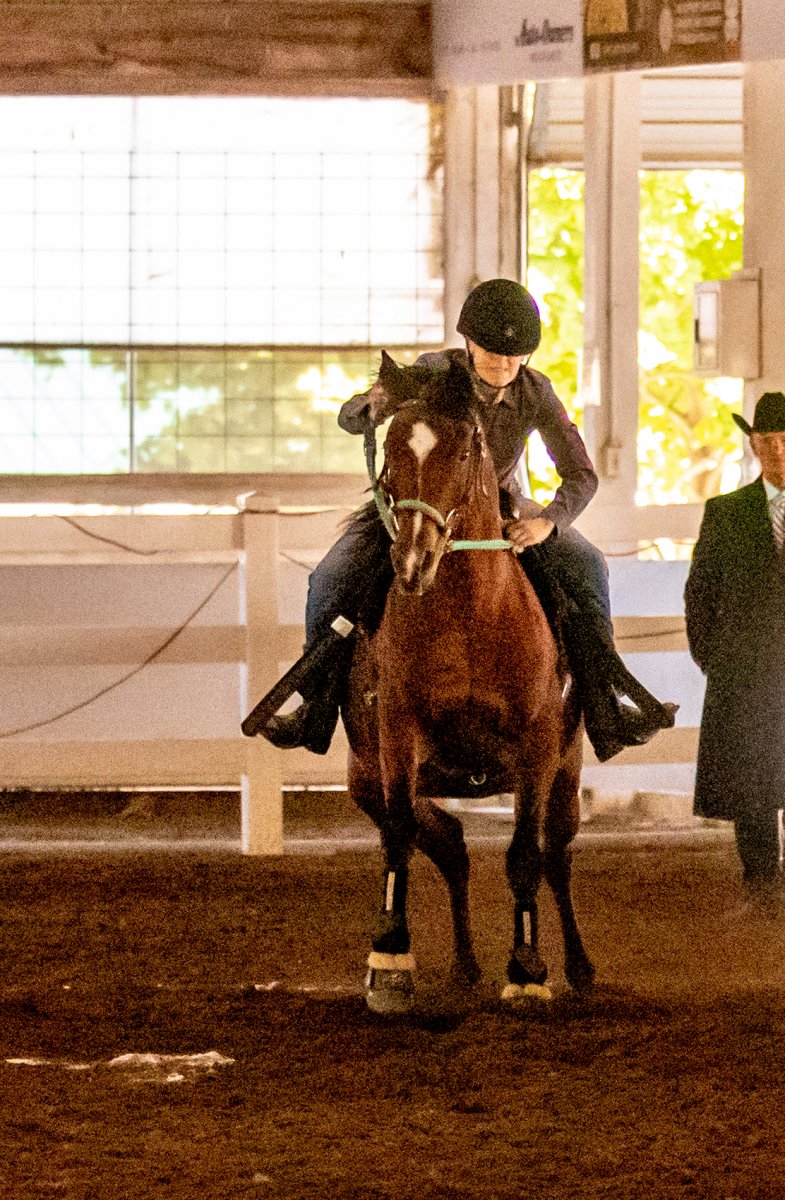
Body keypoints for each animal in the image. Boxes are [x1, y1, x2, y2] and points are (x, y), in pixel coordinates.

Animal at [342, 351, 595, 1014]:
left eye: (462, 452)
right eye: (391, 450)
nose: (412, 561)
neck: (470, 617)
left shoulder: (538, 748)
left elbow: (525, 855)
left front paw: (528, 970)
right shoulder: (396, 736)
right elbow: (400, 839)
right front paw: (390, 959)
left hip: (567, 770)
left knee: (556, 853)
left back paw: (578, 966)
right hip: (366, 778)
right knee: (448, 844)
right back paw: (462, 963)